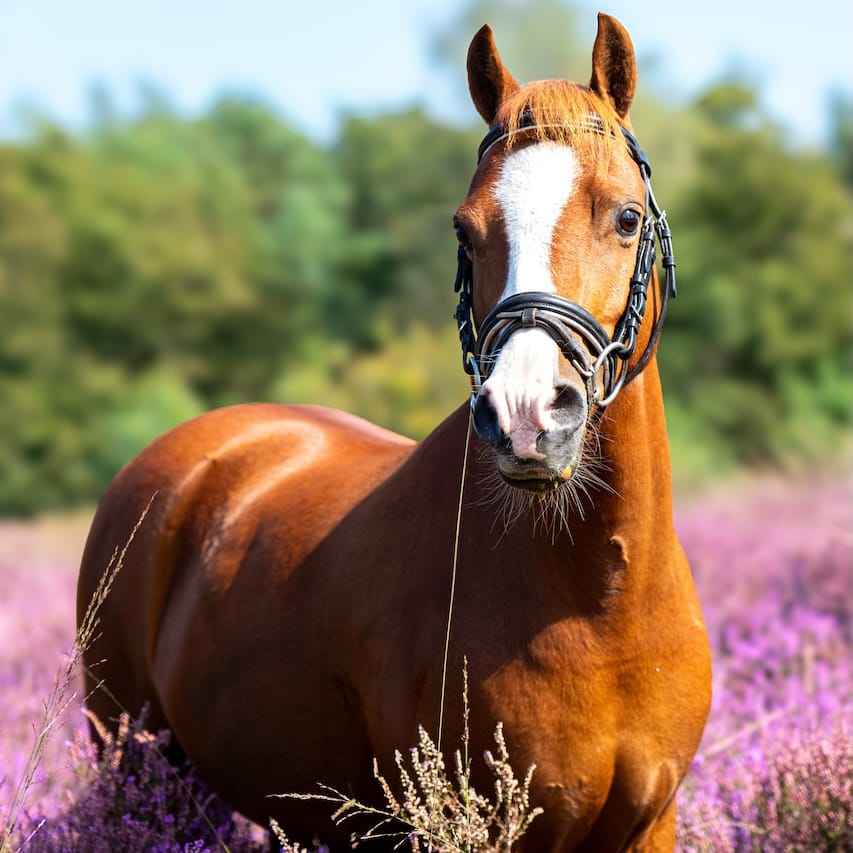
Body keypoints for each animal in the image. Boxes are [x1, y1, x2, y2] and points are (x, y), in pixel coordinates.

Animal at [78, 13, 711, 852]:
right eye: (466, 230)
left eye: (625, 216)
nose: (525, 416)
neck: (600, 600)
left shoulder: (646, 824)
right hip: (138, 768)